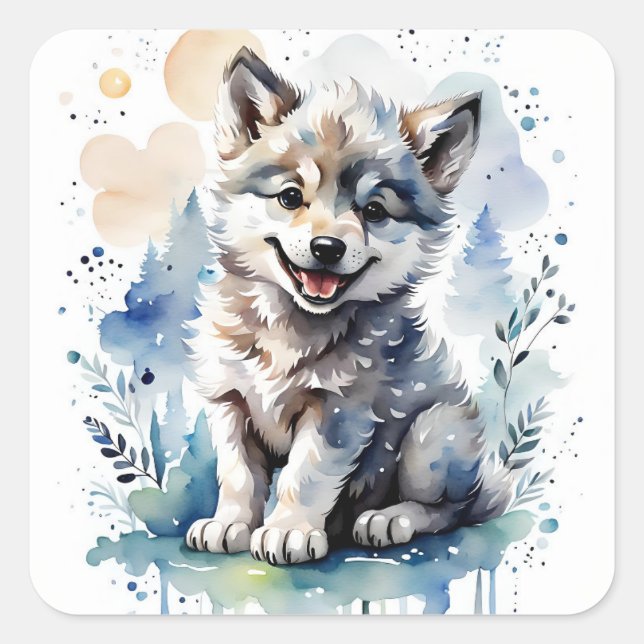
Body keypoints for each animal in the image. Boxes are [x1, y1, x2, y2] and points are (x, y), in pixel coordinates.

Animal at [185, 47, 512, 564]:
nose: (327, 248)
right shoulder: (229, 400)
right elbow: (237, 475)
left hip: (431, 438)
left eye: (374, 211)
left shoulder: (339, 412)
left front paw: (288, 530)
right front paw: (229, 524)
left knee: (450, 509)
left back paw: (389, 519)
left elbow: (305, 476)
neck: (289, 330)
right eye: (290, 197)